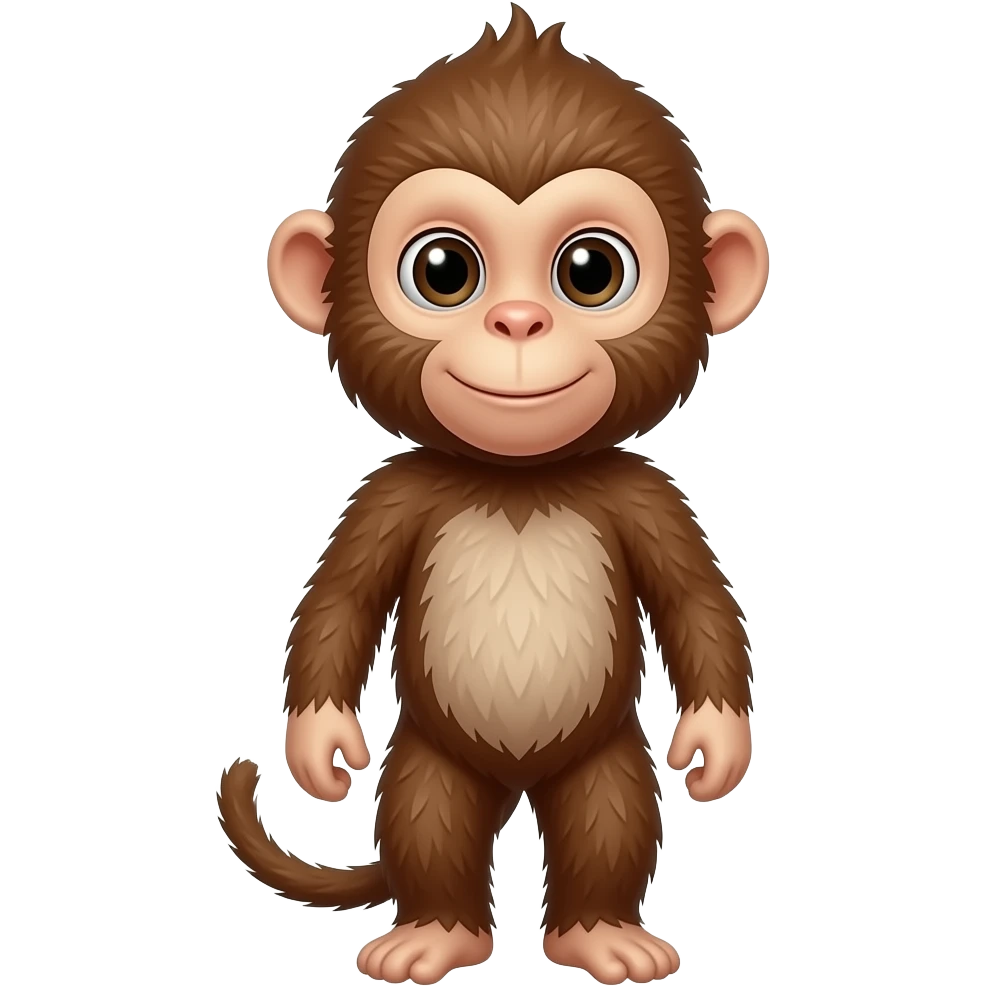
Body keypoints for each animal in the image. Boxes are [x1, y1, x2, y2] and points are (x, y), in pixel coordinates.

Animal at [218, 5, 769, 984]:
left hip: (604, 760)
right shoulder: (390, 495)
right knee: (428, 818)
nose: (518, 322)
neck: (518, 480)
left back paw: (600, 932)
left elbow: (697, 601)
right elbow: (340, 600)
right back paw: (437, 932)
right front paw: (320, 746)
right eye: (444, 270)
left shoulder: (647, 495)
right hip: (431, 763)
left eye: (590, 271)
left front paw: (715, 745)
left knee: (608, 816)